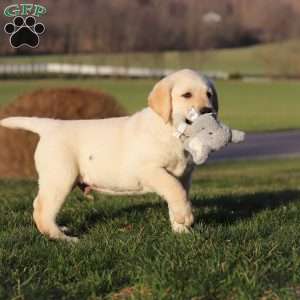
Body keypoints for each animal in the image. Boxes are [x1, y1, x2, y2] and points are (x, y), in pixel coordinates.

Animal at [1, 68, 219, 241]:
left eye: (209, 94)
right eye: (187, 95)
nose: (207, 110)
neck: (171, 130)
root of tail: (50, 126)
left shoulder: (184, 176)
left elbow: (178, 194)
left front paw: (181, 230)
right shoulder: (150, 170)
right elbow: (175, 190)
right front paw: (186, 217)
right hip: (60, 177)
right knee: (42, 210)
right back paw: (64, 238)